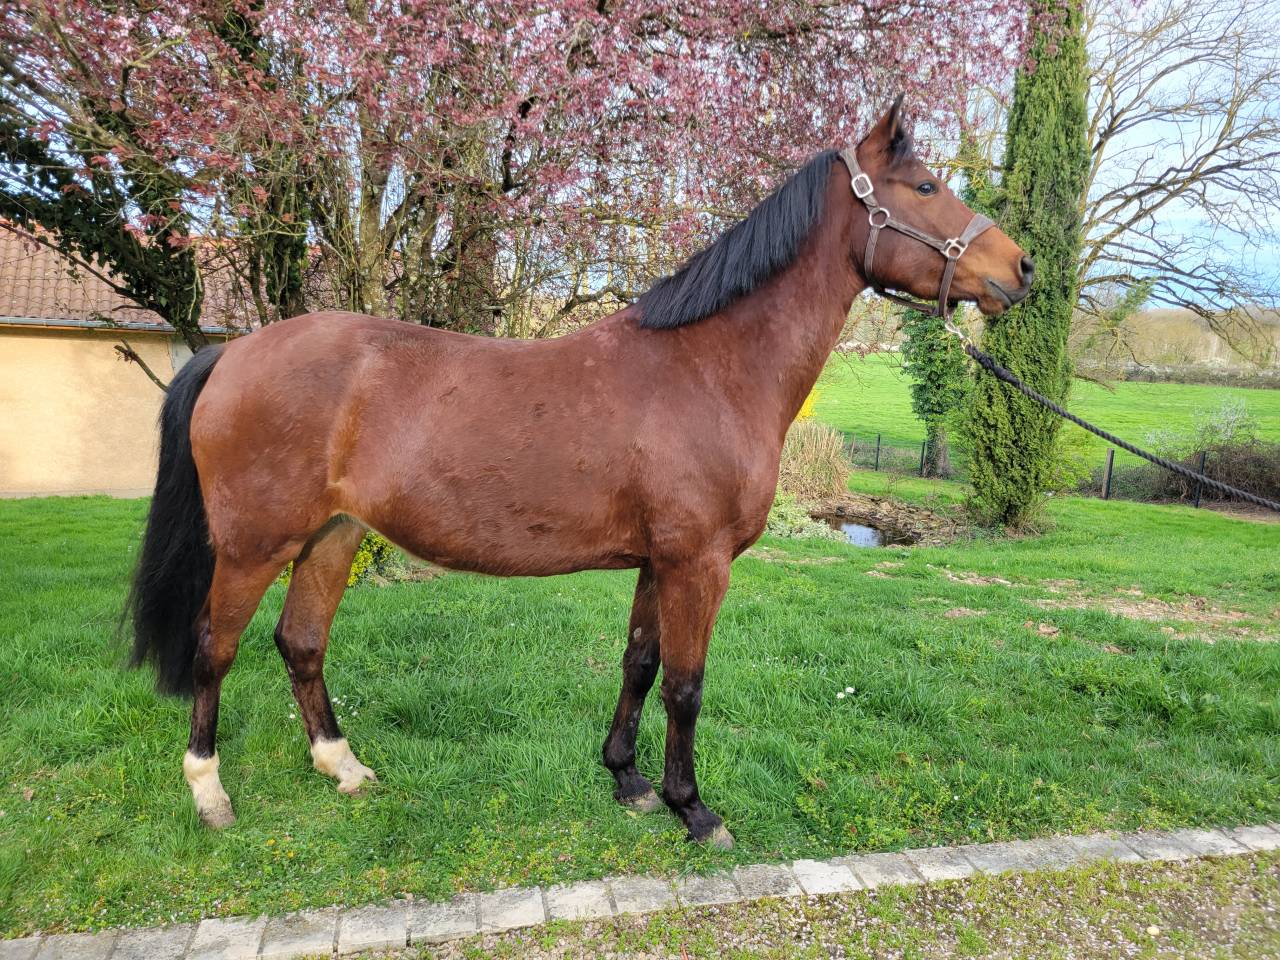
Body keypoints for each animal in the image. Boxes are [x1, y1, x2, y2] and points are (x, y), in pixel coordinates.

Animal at [128, 97, 1032, 848]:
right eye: (925, 185)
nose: (1019, 268)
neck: (709, 369)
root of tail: (234, 351)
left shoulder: (659, 561)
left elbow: (640, 664)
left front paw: (627, 780)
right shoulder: (698, 563)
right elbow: (687, 686)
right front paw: (694, 809)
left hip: (333, 536)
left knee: (301, 642)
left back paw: (343, 767)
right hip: (254, 545)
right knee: (216, 647)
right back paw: (210, 793)